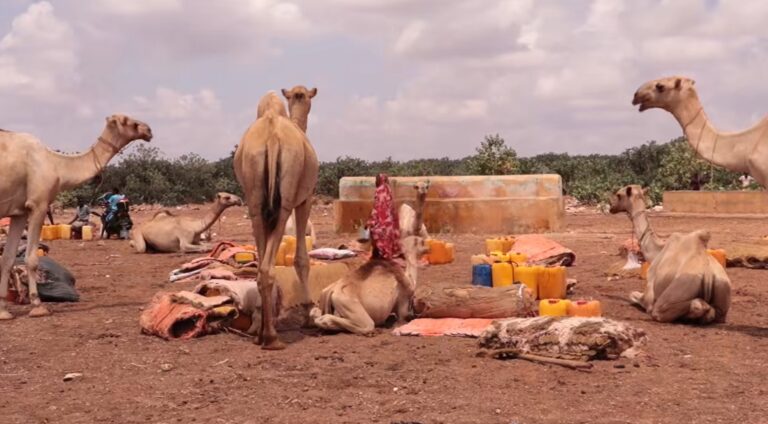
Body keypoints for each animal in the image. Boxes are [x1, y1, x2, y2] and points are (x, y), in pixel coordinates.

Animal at [0, 114, 153, 320]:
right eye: (130, 122)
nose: (148, 131)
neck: (55, 163)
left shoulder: (19, 212)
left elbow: (8, 258)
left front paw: (3, 311)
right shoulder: (38, 204)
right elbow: (31, 258)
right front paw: (38, 305)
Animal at [234, 85, 318, 348]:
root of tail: (271, 137)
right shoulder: (305, 199)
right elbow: (301, 259)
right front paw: (309, 314)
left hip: (254, 201)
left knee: (262, 269)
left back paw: (263, 332)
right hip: (285, 204)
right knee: (269, 268)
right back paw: (271, 337)